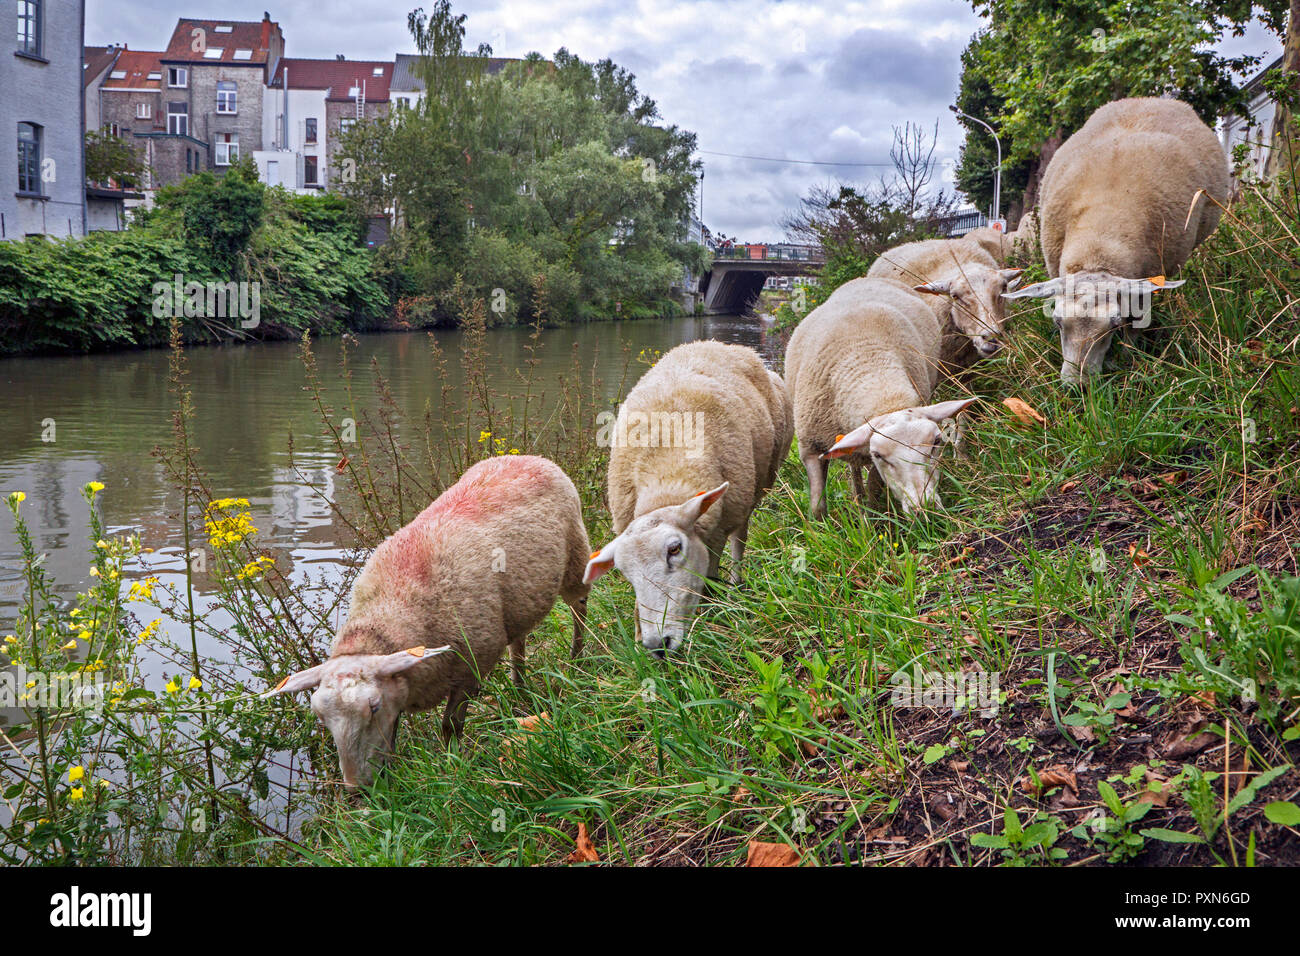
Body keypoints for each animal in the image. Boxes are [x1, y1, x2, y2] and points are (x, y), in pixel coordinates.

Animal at [266, 455, 592, 790]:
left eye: (373, 707)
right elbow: (393, 738)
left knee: (579, 612)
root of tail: (528, 457)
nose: (358, 789)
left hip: (575, 559)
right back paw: (519, 685)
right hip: (519, 603)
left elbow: (451, 725)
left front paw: (453, 767)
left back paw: (578, 660)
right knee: (519, 641)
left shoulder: (471, 666)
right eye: (321, 717)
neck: (393, 607)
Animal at [582, 338, 785, 658]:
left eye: (675, 549)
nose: (658, 645)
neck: (667, 478)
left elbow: (709, 579)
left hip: (754, 488)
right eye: (624, 571)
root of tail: (715, 343)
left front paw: (709, 618)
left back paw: (736, 583)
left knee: (740, 537)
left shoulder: (715, 531)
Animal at [780, 273, 977, 520]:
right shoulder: (810, 449)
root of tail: (865, 278)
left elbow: (874, 487)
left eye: (937, 442)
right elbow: (817, 506)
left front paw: (871, 517)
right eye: (879, 454)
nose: (925, 509)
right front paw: (821, 524)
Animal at [1003, 95, 1227, 382]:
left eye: (1114, 324)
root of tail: (1146, 99)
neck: (1097, 246)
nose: (1078, 386)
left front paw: (1129, 358)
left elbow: (1137, 323)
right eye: (1057, 321)